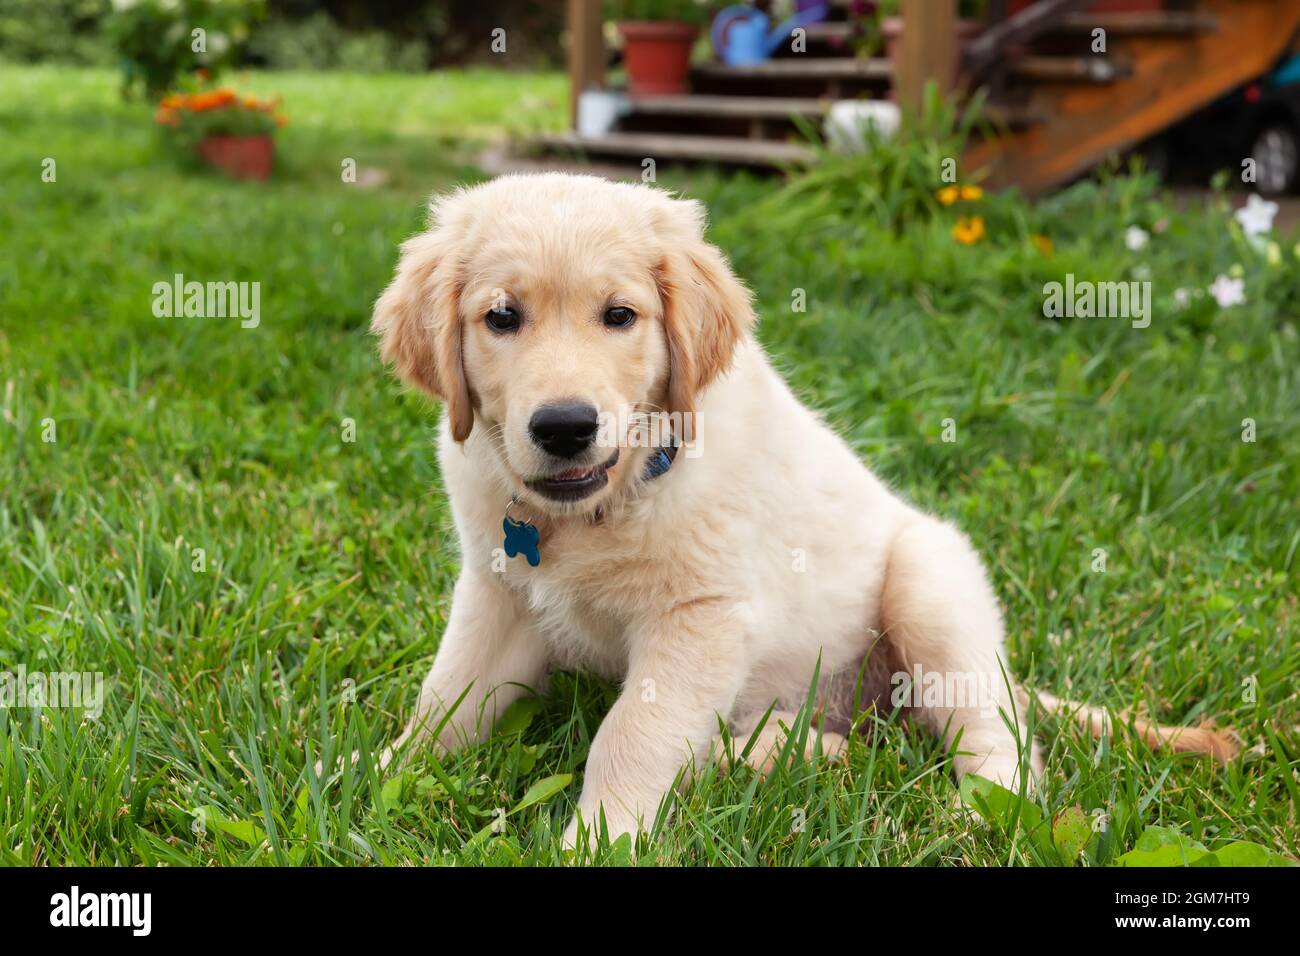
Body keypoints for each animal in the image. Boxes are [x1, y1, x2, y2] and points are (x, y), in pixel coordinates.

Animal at [374, 171, 1237, 842]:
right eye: (501, 317)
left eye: (619, 315)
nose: (563, 427)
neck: (599, 507)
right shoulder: (499, 592)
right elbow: (448, 697)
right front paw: (384, 774)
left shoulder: (700, 617)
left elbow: (633, 736)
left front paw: (600, 839)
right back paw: (792, 749)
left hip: (932, 592)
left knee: (998, 737)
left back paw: (975, 814)